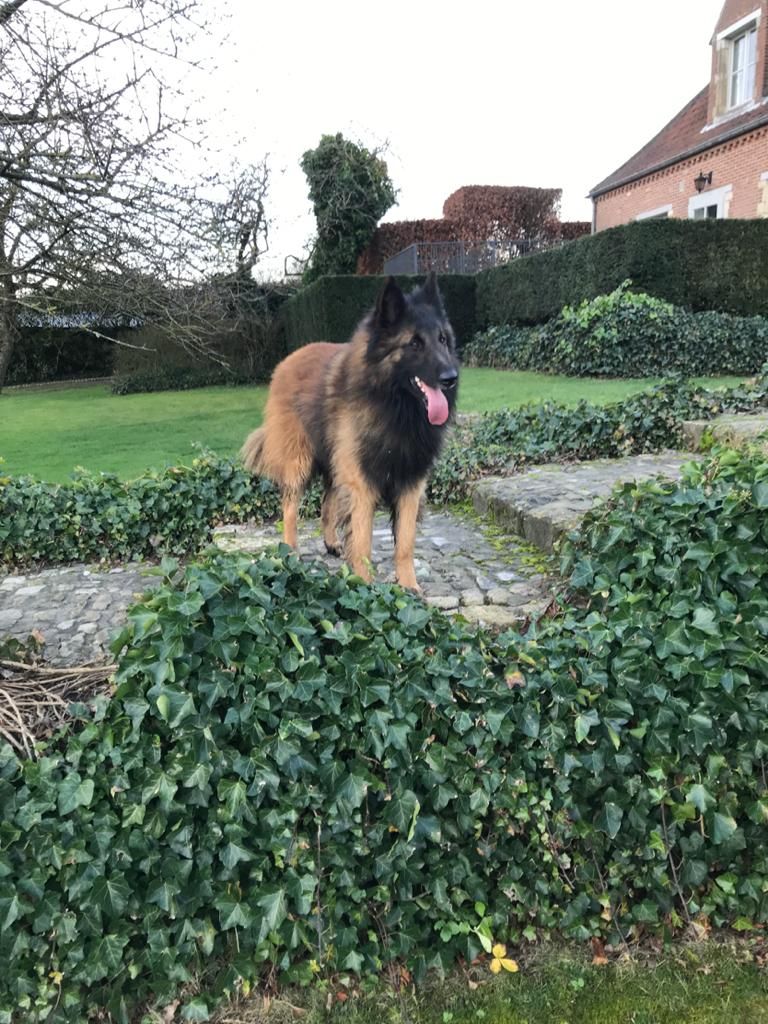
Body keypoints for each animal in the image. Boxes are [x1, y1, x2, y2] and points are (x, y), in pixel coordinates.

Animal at [240, 272, 456, 593]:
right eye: (414, 344)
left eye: (442, 339)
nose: (451, 378)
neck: (395, 407)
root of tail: (286, 362)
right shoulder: (362, 483)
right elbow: (363, 541)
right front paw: (364, 585)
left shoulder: (410, 483)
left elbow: (405, 542)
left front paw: (409, 586)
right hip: (299, 462)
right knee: (290, 508)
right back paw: (290, 552)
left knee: (327, 503)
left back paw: (331, 544)